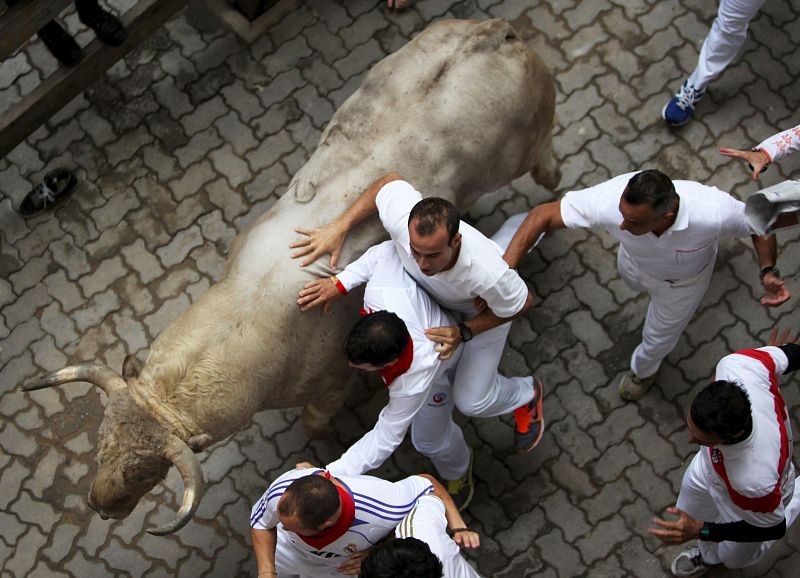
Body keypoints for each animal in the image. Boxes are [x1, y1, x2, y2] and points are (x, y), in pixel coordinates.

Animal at [20, 16, 556, 532]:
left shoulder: (331, 380)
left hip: (525, 145)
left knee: (543, 161)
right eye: (101, 444)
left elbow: (317, 424)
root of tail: (491, 33)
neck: (246, 308)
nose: (101, 505)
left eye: (146, 472)